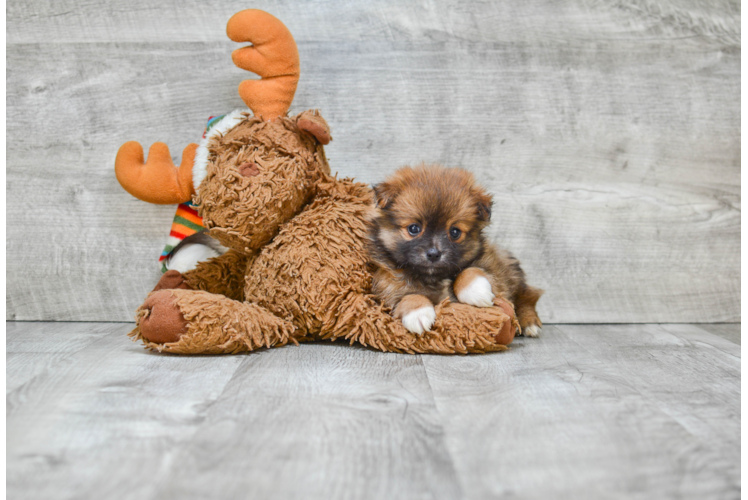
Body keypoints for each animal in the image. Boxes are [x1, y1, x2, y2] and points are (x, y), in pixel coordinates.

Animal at [368, 166, 544, 338]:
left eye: (454, 232)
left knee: (528, 295)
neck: (434, 277)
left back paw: (529, 323)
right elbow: (408, 295)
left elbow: (468, 271)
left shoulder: (494, 271)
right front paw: (417, 312)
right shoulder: (388, 287)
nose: (433, 254)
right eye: (414, 228)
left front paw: (475, 289)